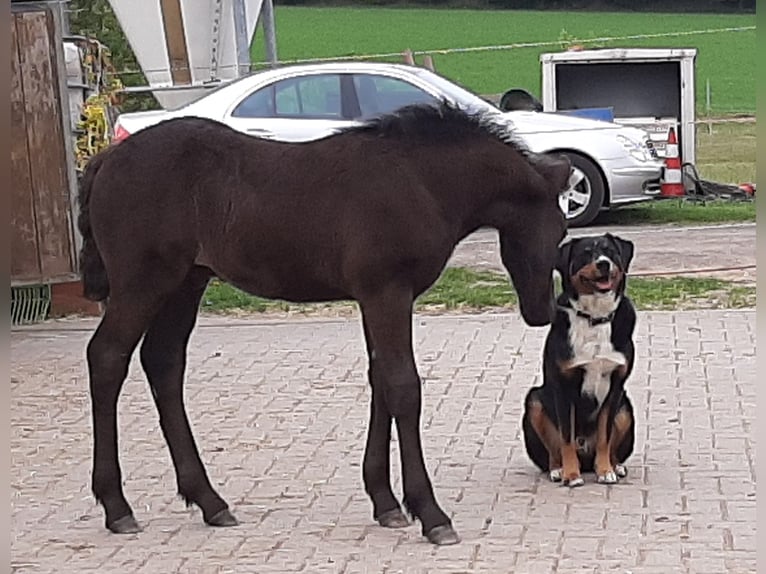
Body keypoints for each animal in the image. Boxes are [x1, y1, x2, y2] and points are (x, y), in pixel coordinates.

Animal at [77, 101, 570, 546]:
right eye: (558, 228)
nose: (541, 309)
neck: (421, 182)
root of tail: (105, 160)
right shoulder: (387, 291)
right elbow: (403, 387)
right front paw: (430, 512)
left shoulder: (376, 297)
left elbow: (380, 380)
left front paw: (385, 502)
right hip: (144, 282)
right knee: (107, 357)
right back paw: (117, 506)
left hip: (186, 283)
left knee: (163, 363)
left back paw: (208, 500)